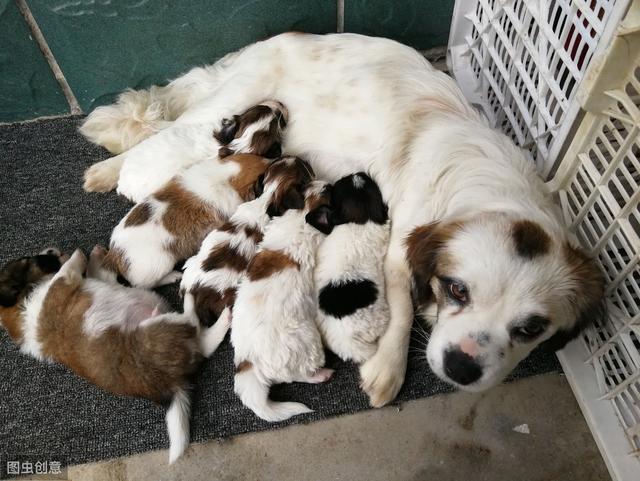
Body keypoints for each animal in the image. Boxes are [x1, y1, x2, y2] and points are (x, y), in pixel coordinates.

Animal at [0, 246, 230, 464]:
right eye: (27, 260)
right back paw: (198, 300)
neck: (24, 302)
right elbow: (65, 271)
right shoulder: (58, 288)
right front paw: (78, 255)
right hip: (159, 327)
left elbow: (96, 272)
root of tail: (172, 383)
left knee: (204, 341)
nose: (51, 249)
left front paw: (93, 255)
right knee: (195, 325)